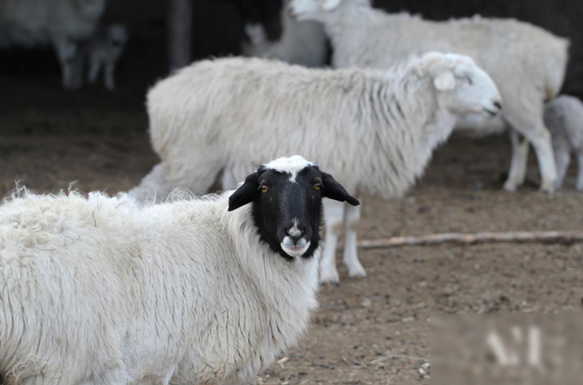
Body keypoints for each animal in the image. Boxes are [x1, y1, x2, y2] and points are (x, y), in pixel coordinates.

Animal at [0, 156, 360, 384]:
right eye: (265, 188)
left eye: (317, 186)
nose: (296, 233)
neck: (236, 248)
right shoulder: (206, 365)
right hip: (47, 363)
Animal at [131, 52, 502, 282]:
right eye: (464, 78)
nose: (498, 104)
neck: (394, 109)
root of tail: (160, 91)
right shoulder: (336, 168)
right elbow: (335, 226)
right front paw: (329, 273)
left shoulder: (352, 180)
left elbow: (354, 224)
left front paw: (354, 266)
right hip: (193, 158)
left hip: (181, 157)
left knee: (146, 190)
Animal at [290, 0, 572, 192]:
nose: (291, 10)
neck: (358, 32)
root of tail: (554, 49)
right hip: (516, 105)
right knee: (521, 141)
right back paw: (513, 181)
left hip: (520, 100)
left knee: (541, 137)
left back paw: (548, 182)